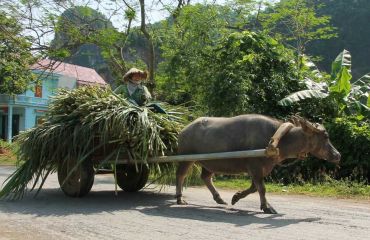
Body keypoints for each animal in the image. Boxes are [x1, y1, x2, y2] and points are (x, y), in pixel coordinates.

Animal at [176, 114, 342, 214]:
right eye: (325, 136)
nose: (337, 155)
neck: (277, 139)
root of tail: (183, 130)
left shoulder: (261, 168)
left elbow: (254, 187)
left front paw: (236, 197)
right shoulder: (255, 167)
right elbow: (262, 188)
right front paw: (267, 207)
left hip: (210, 162)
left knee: (206, 177)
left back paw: (219, 198)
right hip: (186, 158)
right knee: (181, 175)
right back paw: (179, 198)